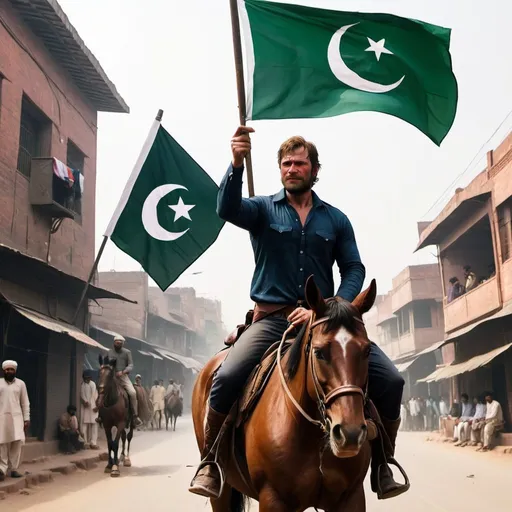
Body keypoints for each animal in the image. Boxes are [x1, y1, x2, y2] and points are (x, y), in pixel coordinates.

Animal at [192, 278, 376, 510]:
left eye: (367, 351)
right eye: (319, 352)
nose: (350, 434)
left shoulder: (351, 497)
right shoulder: (272, 499)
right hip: (221, 491)